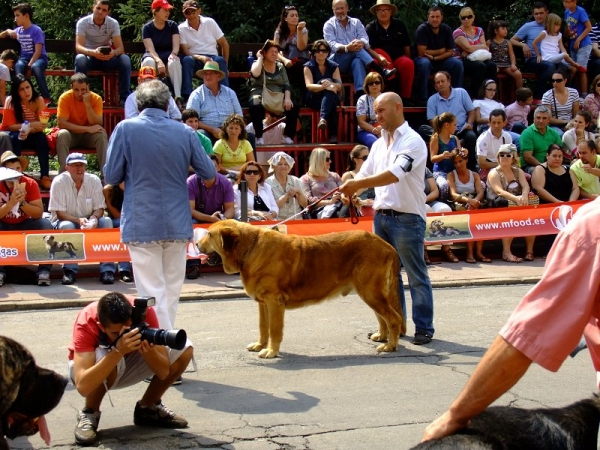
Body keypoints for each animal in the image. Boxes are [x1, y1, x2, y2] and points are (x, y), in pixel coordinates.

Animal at [199, 220, 406, 356]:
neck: (249, 249)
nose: (197, 244)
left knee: (393, 318)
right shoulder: (263, 303)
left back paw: (390, 346)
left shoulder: (274, 302)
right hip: (371, 292)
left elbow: (274, 329)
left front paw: (271, 351)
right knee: (382, 317)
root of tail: (388, 246)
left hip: (371, 292)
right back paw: (381, 336)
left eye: (209, 235)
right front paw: (260, 345)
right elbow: (263, 327)